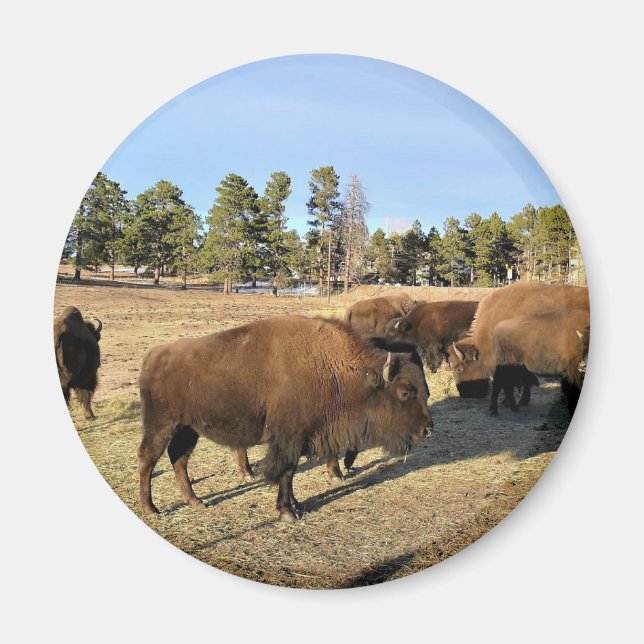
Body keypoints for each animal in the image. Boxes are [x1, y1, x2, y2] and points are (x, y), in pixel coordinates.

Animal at [138, 315, 433, 522]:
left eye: (426, 391)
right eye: (404, 392)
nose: (428, 430)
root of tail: (153, 356)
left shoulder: (302, 437)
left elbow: (290, 474)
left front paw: (296, 505)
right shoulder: (289, 438)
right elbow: (286, 471)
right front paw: (287, 512)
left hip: (189, 428)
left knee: (179, 458)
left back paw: (196, 501)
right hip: (161, 424)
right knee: (148, 458)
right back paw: (151, 509)